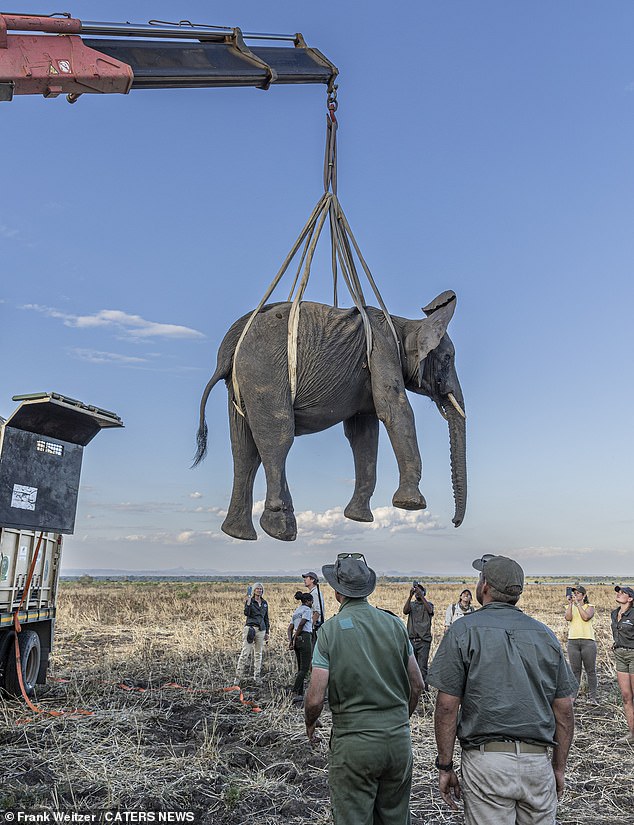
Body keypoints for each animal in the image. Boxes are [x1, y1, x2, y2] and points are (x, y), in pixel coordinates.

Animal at [193, 290, 464, 540]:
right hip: (265, 371)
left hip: (240, 382)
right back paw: (281, 528)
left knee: (244, 449)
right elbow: (394, 409)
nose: (454, 522)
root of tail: (227, 348)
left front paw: (358, 518)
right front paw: (411, 504)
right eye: (448, 358)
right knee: (278, 436)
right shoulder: (383, 350)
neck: (404, 323)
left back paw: (239, 533)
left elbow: (363, 431)